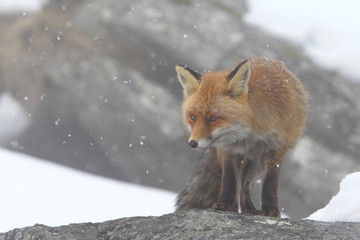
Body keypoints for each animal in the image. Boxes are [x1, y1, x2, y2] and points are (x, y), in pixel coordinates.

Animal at [175, 57, 310, 217]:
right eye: (193, 117)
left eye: (214, 118)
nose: (192, 143)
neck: (249, 135)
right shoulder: (228, 149)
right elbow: (229, 179)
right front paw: (224, 204)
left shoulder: (276, 148)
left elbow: (270, 182)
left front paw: (270, 209)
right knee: (239, 184)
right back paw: (236, 207)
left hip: (256, 163)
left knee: (245, 185)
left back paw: (249, 209)